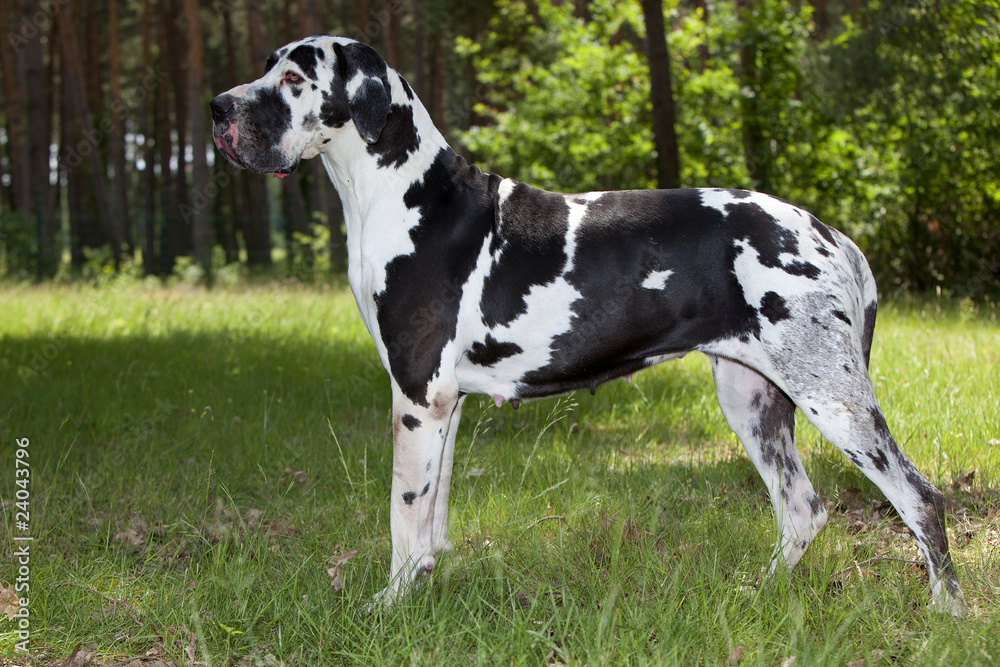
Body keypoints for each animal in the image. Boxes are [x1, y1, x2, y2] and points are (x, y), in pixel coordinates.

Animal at [211, 34, 968, 612]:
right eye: (267, 66)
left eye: (292, 77)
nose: (217, 107)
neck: (404, 195)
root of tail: (833, 235)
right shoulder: (440, 406)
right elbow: (433, 514)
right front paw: (429, 580)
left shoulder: (417, 396)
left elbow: (403, 514)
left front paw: (389, 604)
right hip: (751, 399)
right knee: (803, 507)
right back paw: (759, 593)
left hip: (833, 398)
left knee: (920, 498)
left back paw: (948, 611)